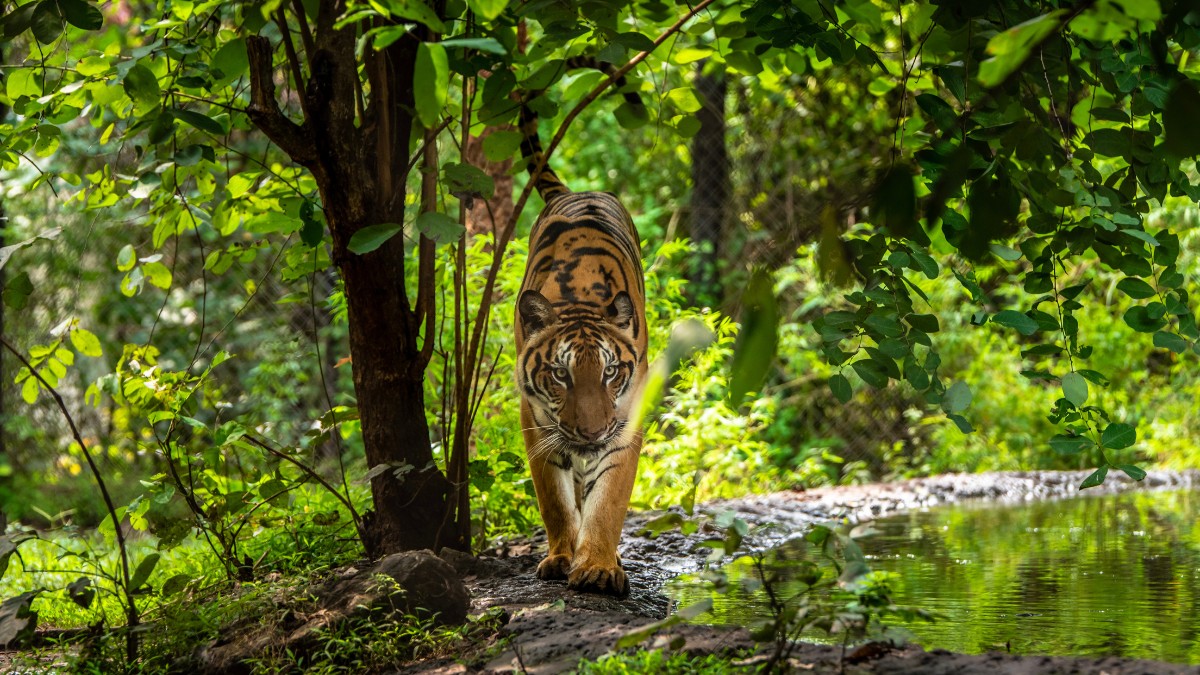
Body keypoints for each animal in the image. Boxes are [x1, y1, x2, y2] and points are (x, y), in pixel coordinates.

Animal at [513, 57, 648, 593]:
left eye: (610, 372)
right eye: (559, 374)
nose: (590, 434)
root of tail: (578, 189)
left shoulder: (625, 420)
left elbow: (607, 499)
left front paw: (596, 566)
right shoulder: (537, 421)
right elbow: (554, 498)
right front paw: (562, 556)